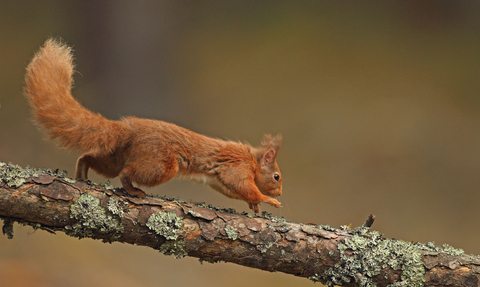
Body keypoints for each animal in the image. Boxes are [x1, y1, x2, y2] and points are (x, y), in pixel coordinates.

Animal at [24, 38, 284, 214]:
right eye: (277, 177)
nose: (280, 192)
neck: (252, 160)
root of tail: (129, 129)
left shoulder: (218, 180)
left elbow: (233, 190)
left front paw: (254, 204)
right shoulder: (236, 168)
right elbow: (243, 186)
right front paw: (268, 200)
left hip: (114, 158)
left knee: (89, 158)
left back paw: (81, 176)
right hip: (160, 165)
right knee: (126, 173)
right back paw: (133, 191)